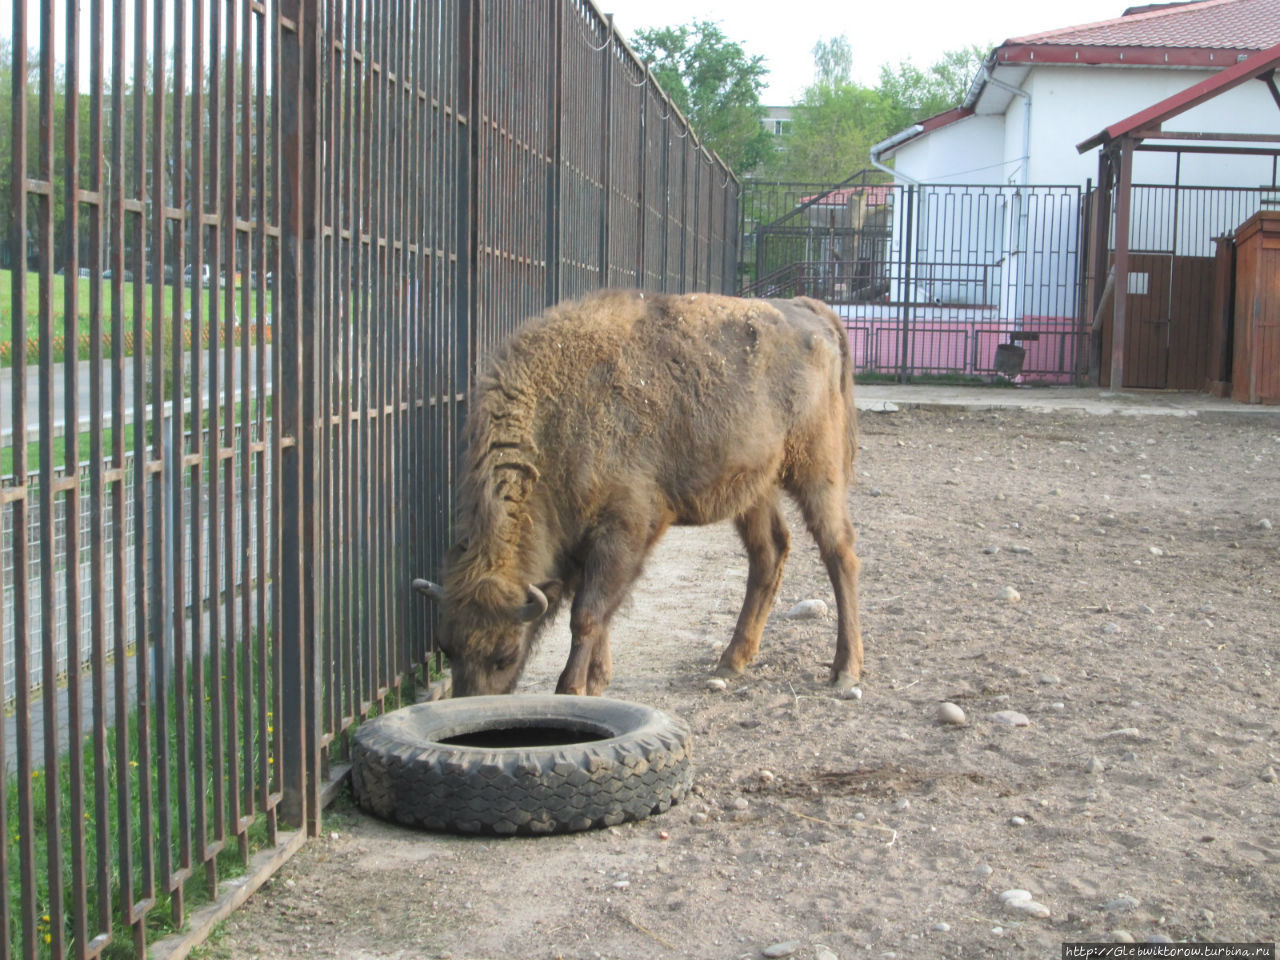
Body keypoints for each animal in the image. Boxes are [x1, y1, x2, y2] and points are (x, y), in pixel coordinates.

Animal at [414, 288, 865, 701]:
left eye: (505, 655)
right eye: (447, 648)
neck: (553, 421)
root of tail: (809, 309)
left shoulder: (623, 530)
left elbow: (587, 614)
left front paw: (572, 688)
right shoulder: (585, 546)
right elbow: (600, 611)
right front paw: (597, 679)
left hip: (816, 471)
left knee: (839, 552)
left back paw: (845, 669)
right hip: (755, 488)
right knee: (769, 553)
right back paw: (732, 659)